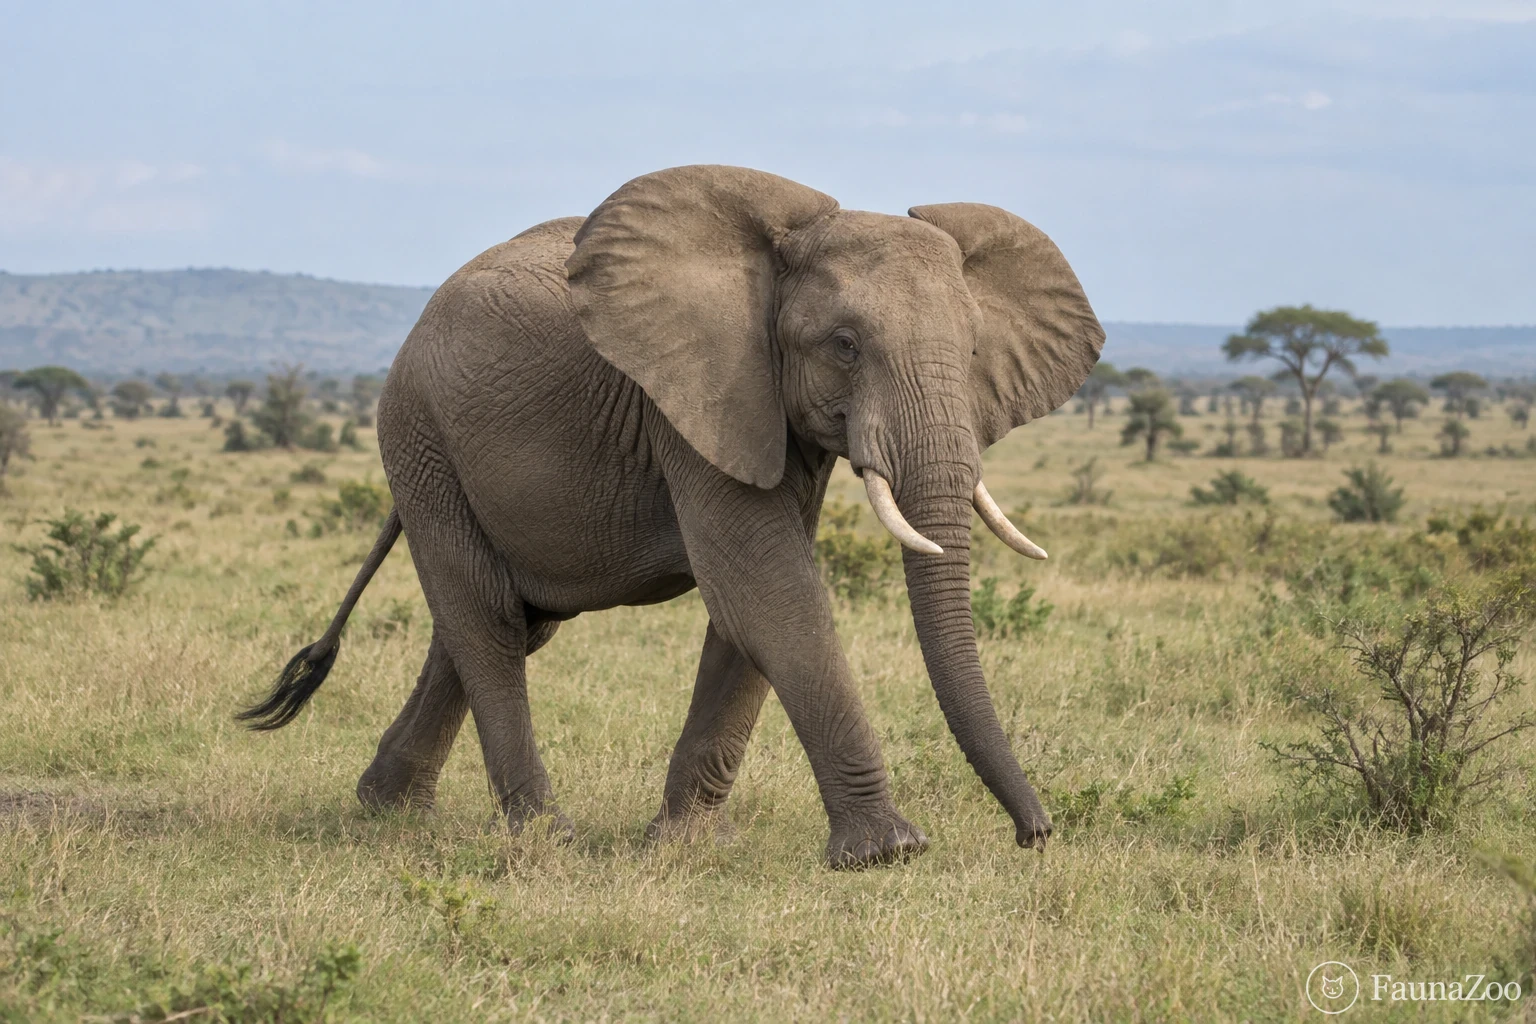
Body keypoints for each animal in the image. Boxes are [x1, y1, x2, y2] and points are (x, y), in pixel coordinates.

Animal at [240, 165, 1105, 868]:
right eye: (845, 345)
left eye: (971, 353)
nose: (1035, 835)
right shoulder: (694, 399)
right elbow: (767, 587)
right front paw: (886, 853)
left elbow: (749, 604)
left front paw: (686, 845)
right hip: (419, 436)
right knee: (485, 620)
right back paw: (545, 836)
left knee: (504, 620)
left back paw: (388, 810)